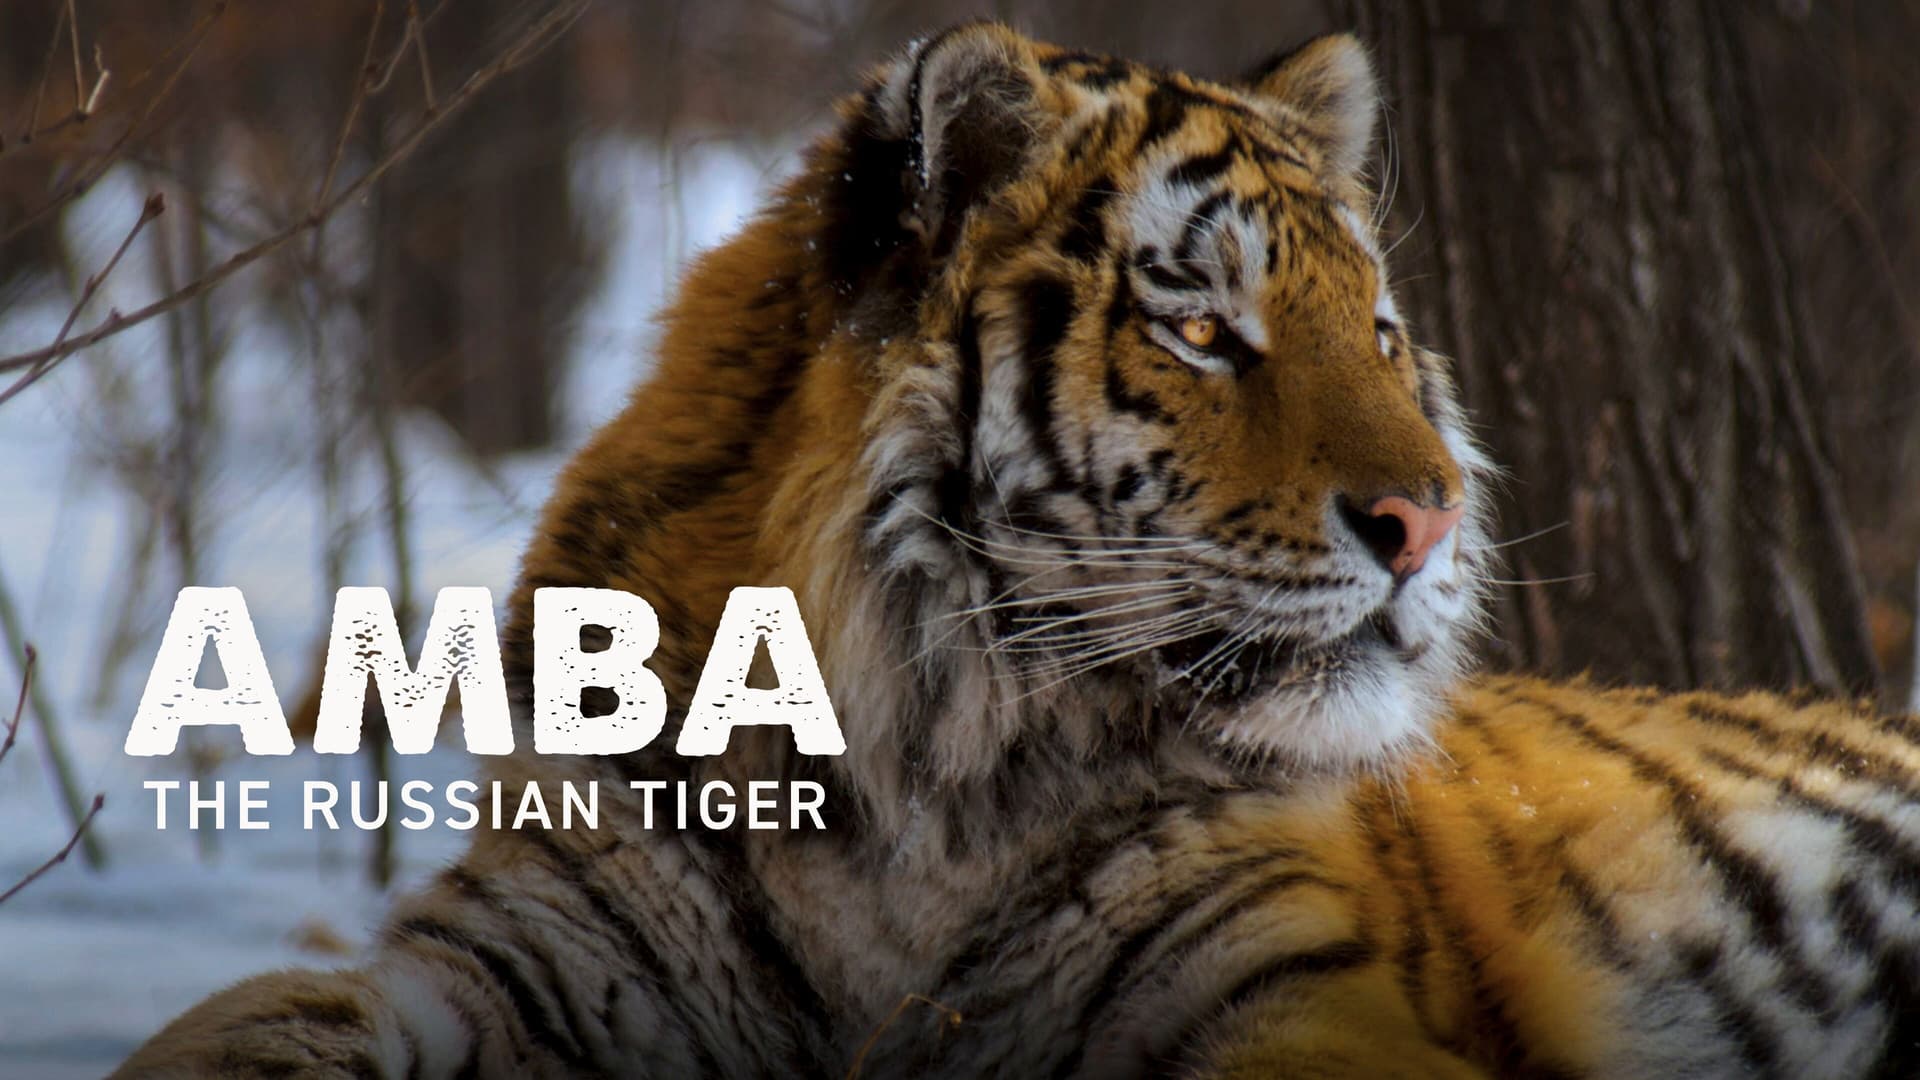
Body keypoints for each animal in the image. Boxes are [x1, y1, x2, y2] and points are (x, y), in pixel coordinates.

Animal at [115, 22, 1920, 1080]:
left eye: (1383, 331)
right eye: (1203, 329)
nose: (1435, 523)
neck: (914, 801)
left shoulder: (1296, 992)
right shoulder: (531, 951)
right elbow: (256, 1019)